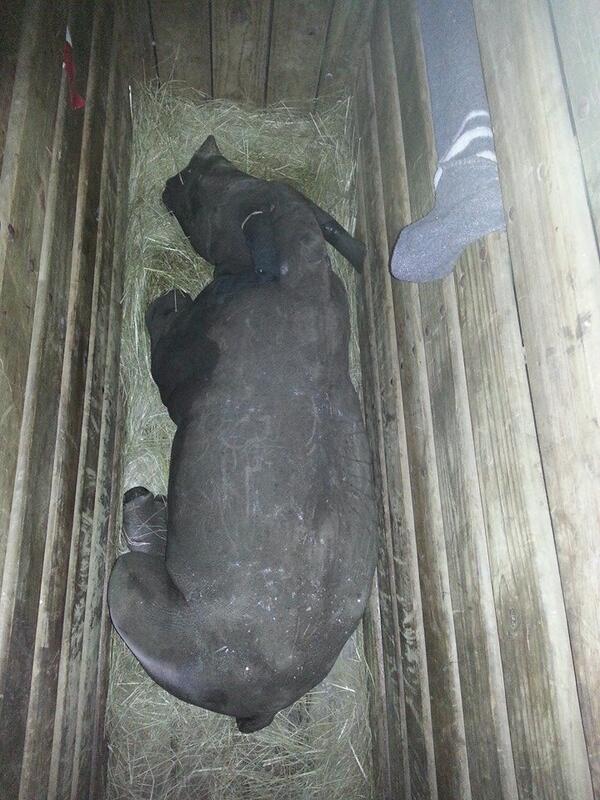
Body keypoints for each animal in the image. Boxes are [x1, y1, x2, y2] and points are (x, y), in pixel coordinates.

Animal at [108, 136, 377, 733]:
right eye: (227, 169)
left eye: (208, 184)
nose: (179, 174)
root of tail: (264, 706)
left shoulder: (187, 360)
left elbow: (166, 345)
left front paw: (166, 300)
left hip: (137, 595)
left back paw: (140, 501)